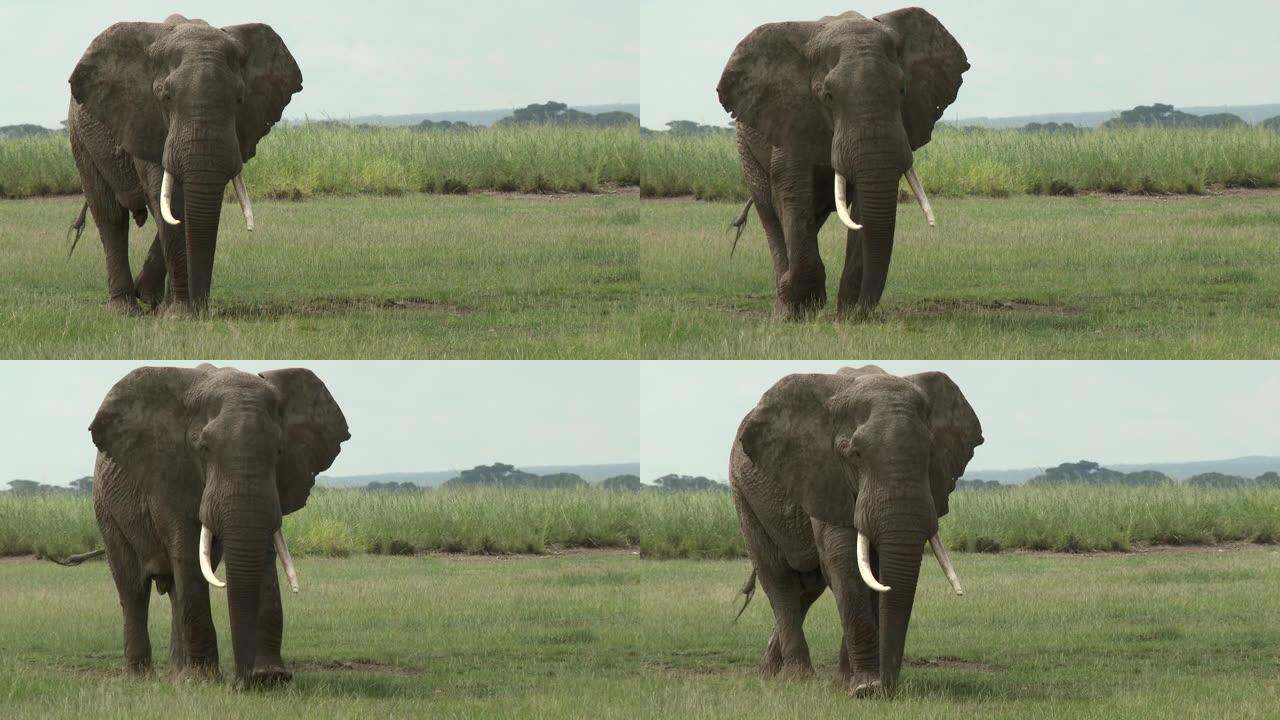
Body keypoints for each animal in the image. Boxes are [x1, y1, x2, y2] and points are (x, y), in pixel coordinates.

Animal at [69, 15, 302, 312]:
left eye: (240, 98)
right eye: (165, 98)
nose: (201, 308)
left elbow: (181, 210)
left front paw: (169, 308)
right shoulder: (145, 119)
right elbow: (167, 201)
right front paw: (179, 314)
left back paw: (151, 300)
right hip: (80, 139)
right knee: (110, 217)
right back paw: (125, 309)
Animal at [88, 363, 350, 681]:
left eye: (279, 451)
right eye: (203, 448)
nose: (245, 680)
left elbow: (263, 554)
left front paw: (270, 678)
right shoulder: (171, 473)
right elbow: (189, 555)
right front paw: (204, 681)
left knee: (176, 590)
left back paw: (176, 674)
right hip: (105, 509)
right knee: (133, 589)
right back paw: (143, 677)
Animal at [721, 8, 967, 316]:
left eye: (902, 91)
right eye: (828, 96)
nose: (863, 310)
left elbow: (864, 204)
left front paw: (849, 315)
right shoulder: (791, 117)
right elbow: (791, 191)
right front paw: (801, 307)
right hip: (746, 148)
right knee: (770, 212)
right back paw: (785, 308)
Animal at [732, 366, 977, 691]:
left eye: (930, 454)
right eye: (855, 455)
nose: (887, 687)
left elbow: (872, 572)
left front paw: (850, 683)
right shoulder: (823, 474)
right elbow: (846, 561)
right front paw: (862, 687)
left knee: (807, 587)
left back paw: (769, 673)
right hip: (744, 495)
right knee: (777, 578)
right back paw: (797, 679)